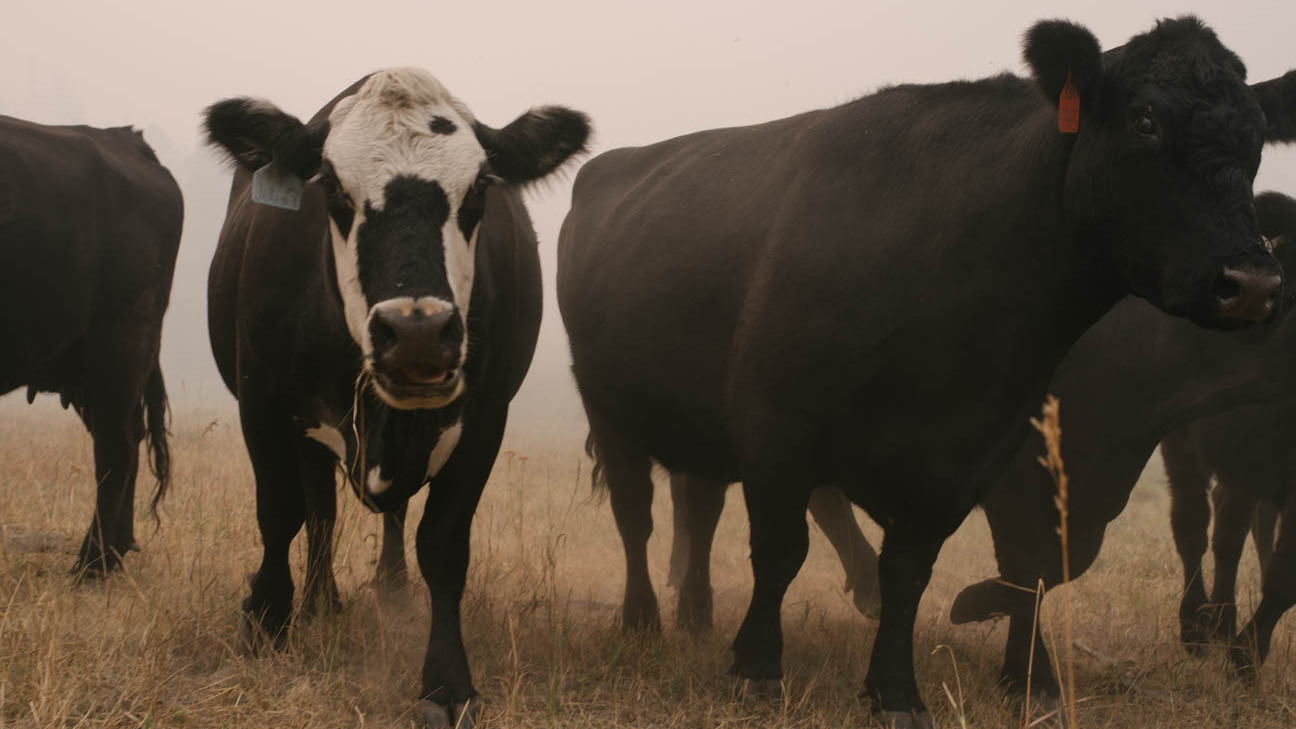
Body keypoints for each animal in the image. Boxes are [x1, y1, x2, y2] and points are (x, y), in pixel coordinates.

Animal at [0, 115, 180, 575]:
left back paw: (92, 564)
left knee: (116, 447)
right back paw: (116, 549)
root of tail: (125, 139)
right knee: (127, 437)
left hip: (118, 342)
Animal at [202, 68, 589, 729]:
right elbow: (280, 513)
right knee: (320, 513)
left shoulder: (484, 419)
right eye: (332, 187)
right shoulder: (262, 399)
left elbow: (443, 544)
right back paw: (321, 601)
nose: (417, 332)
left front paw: (447, 681)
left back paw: (389, 588)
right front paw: (268, 620)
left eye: (480, 188)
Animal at [949, 190, 1296, 707]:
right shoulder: (1015, 477)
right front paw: (1028, 678)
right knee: (1198, 525)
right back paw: (1199, 626)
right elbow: (1029, 563)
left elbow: (1060, 561)